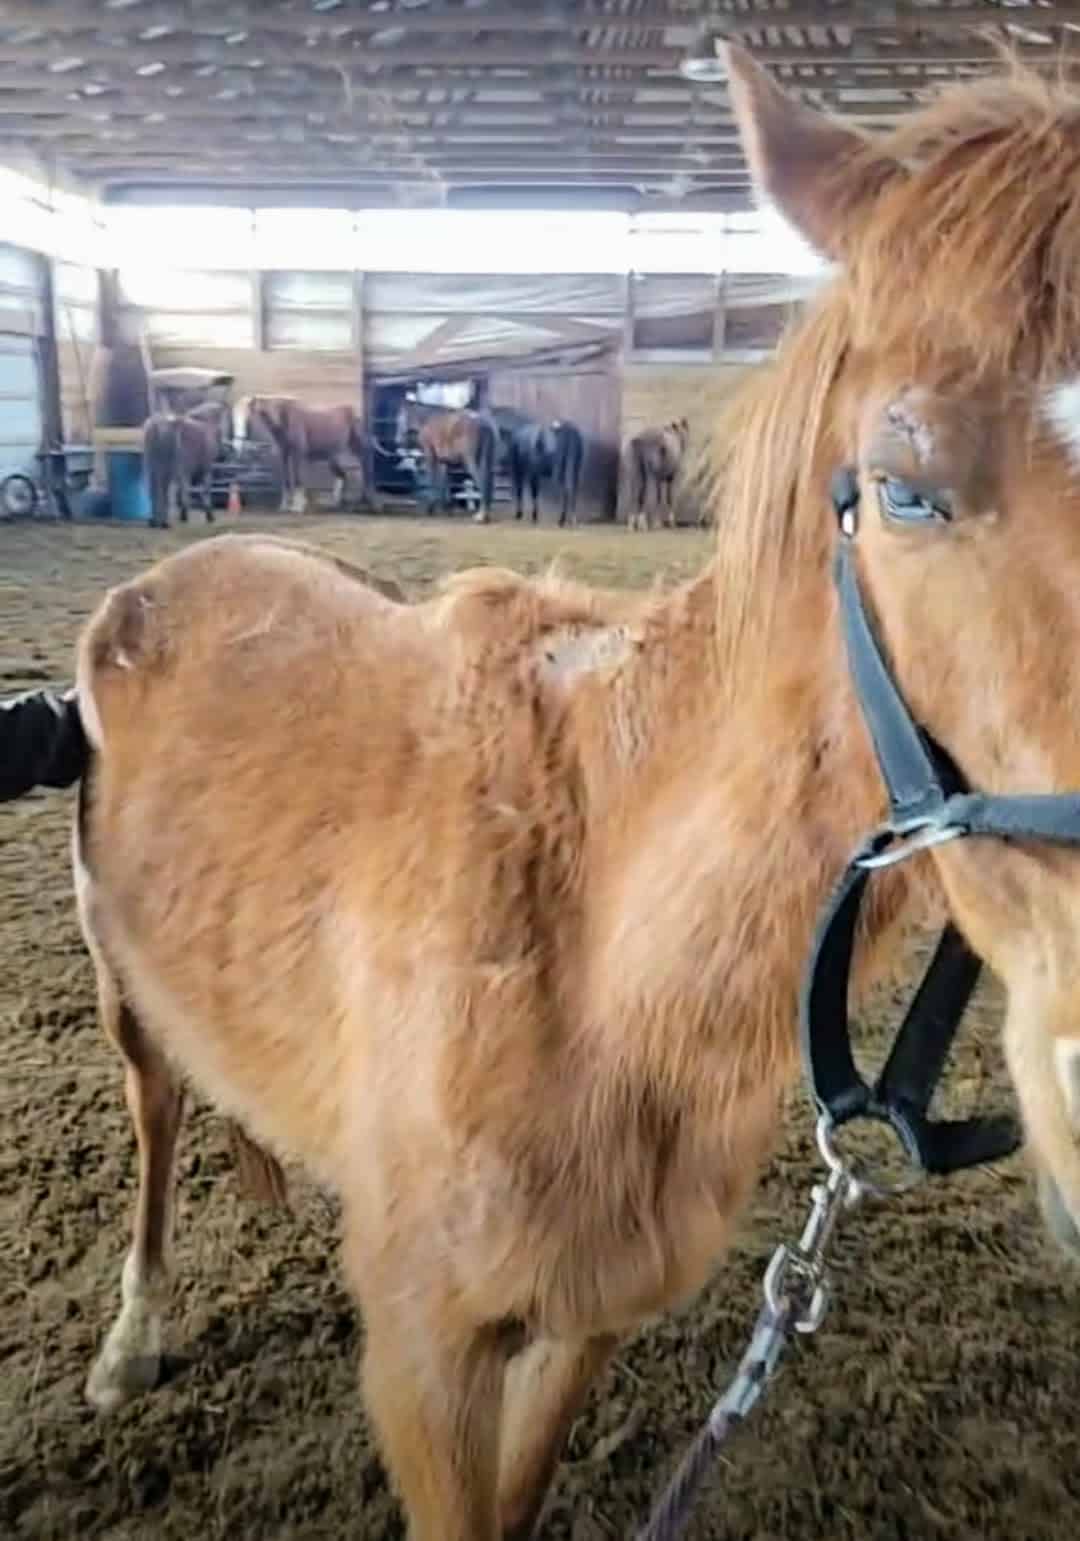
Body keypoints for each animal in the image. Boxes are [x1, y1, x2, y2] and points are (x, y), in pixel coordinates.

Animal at [143, 400, 232, 530]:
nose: (225, 454)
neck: (206, 424)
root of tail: (157, 426)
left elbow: (187, 490)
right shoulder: (205, 469)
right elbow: (203, 490)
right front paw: (208, 515)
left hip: (152, 466)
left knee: (154, 490)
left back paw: (154, 521)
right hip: (170, 468)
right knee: (167, 491)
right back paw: (166, 522)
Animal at [234, 396, 370, 515]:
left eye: (247, 416)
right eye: (235, 417)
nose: (237, 444)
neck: (284, 417)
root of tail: (352, 410)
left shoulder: (297, 453)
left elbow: (298, 479)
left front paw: (297, 507)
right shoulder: (284, 453)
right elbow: (286, 479)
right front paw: (284, 506)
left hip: (356, 447)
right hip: (333, 456)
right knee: (342, 475)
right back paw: (337, 503)